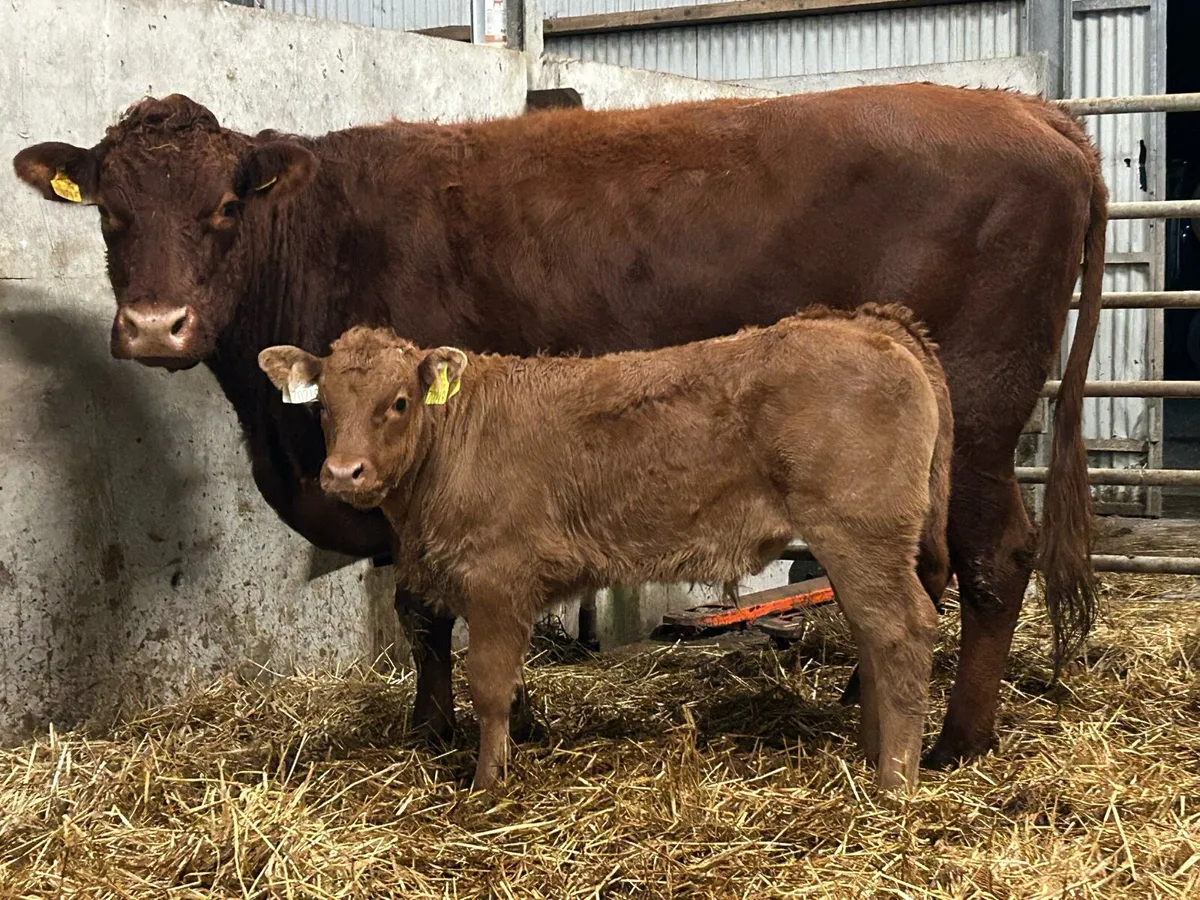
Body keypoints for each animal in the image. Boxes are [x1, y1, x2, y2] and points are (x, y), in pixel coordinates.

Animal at [258, 304, 954, 790]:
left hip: (859, 529)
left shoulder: (496, 579)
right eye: (323, 407)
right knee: (872, 632)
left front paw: (485, 785)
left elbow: (488, 684)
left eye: (399, 402)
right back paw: (870, 752)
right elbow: (509, 683)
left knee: (903, 630)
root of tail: (869, 325)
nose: (342, 473)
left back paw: (895, 779)